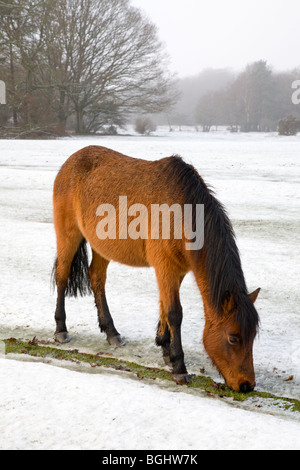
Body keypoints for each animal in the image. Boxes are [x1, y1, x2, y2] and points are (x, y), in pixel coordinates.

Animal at [52, 145, 260, 392]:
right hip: (68, 235)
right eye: (233, 338)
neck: (181, 211)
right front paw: (179, 366)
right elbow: (175, 313)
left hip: (101, 247)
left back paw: (112, 332)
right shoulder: (165, 267)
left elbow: (164, 306)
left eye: (253, 336)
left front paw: (165, 347)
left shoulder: (176, 270)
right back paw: (61, 329)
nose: (247, 385)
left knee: (97, 279)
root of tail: (72, 160)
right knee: (62, 276)